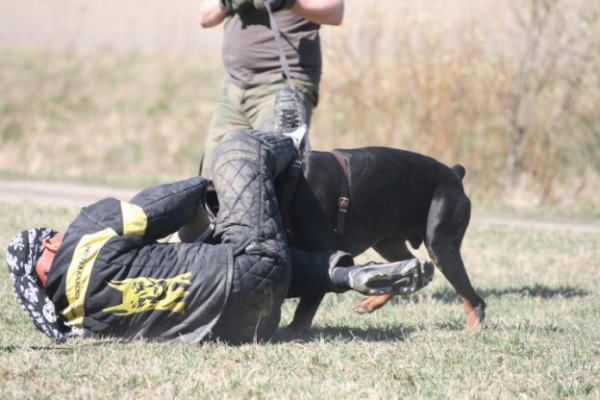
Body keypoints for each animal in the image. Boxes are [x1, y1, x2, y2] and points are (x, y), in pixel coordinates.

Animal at [276, 146, 488, 334]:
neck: (293, 179)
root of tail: (454, 174)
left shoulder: (326, 253)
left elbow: (308, 302)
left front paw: (291, 332)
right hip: (387, 242)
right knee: (409, 268)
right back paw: (371, 301)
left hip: (440, 245)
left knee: (475, 300)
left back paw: (471, 330)